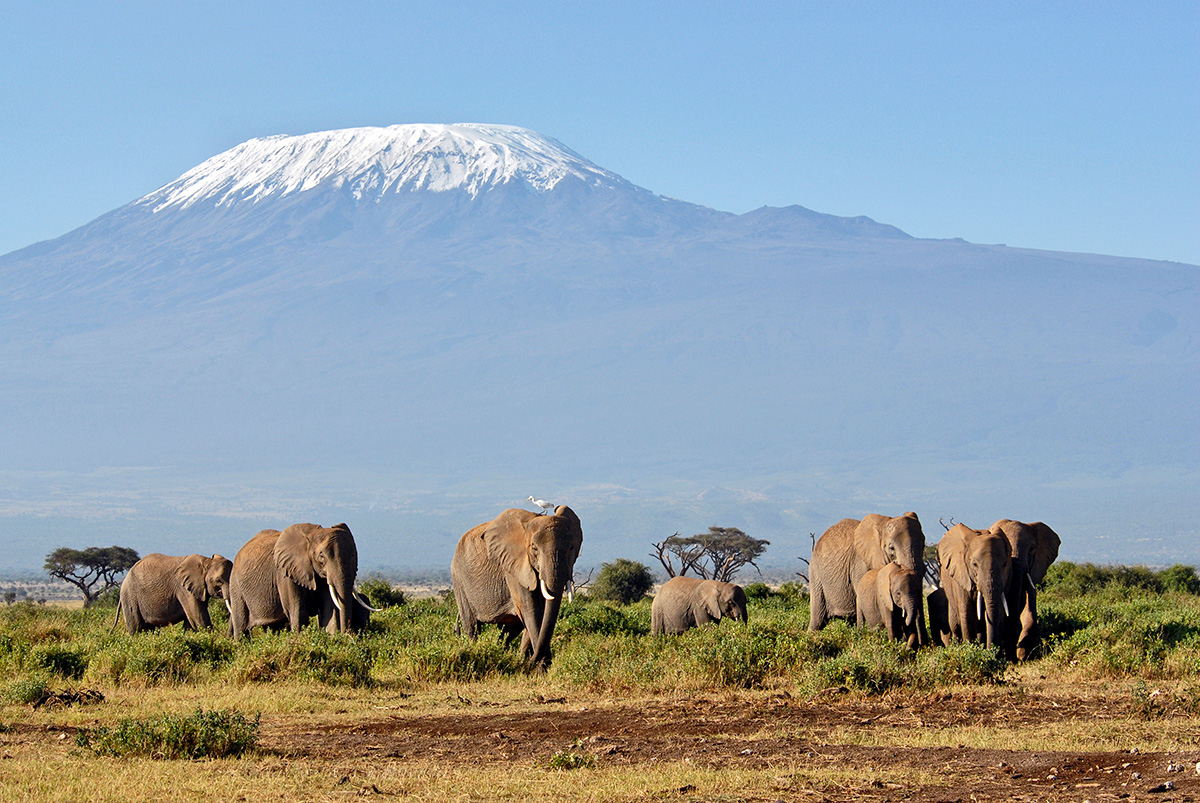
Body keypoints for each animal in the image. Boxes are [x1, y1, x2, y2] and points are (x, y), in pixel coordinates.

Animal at [226, 523, 372, 633]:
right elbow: (298, 612)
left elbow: (329, 609)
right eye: (321, 557)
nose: (347, 634)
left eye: (353, 555)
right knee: (241, 626)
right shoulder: (286, 573)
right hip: (235, 584)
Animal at [451, 504, 580, 667]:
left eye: (571, 548)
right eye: (534, 548)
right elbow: (531, 609)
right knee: (472, 627)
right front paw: (541, 666)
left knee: (510, 630)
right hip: (459, 579)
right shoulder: (513, 567)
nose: (532, 661)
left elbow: (540, 611)